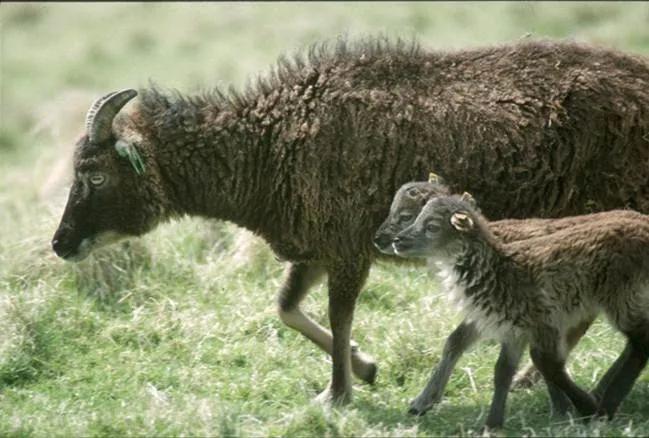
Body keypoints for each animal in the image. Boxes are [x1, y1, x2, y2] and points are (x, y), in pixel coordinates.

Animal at [392, 194, 649, 426]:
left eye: (432, 226)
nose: (397, 240)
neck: (501, 268)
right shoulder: (513, 329)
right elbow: (502, 371)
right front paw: (493, 424)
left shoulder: (542, 321)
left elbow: (547, 364)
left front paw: (582, 408)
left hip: (622, 294)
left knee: (640, 343)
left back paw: (607, 404)